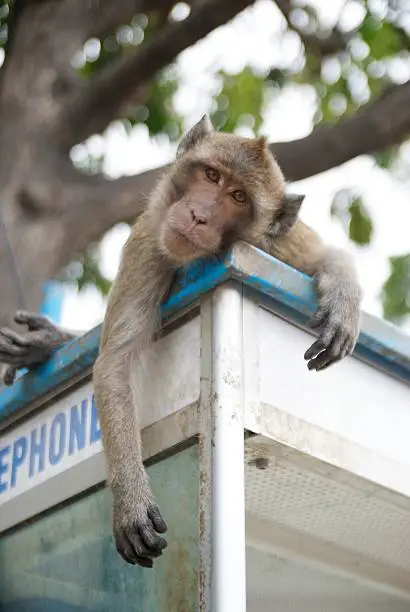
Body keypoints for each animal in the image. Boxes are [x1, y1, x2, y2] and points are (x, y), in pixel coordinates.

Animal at [0, 116, 360, 568]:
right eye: (211, 176)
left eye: (238, 196)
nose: (199, 215)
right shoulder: (149, 240)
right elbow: (114, 362)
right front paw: (131, 500)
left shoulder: (277, 243)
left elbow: (329, 256)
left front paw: (344, 303)